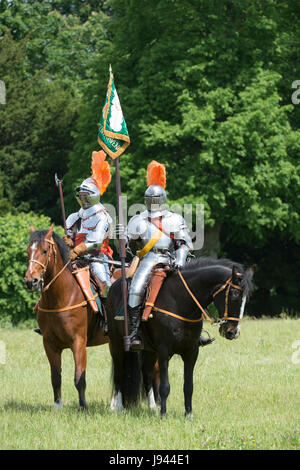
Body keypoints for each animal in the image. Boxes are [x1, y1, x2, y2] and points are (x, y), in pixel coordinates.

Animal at [24, 226, 109, 410]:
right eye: (28, 251)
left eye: (45, 250)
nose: (30, 281)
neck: (60, 297)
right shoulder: (50, 344)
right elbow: (55, 378)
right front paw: (57, 407)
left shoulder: (78, 343)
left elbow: (79, 378)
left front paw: (83, 408)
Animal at [106, 258, 254, 418]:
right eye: (234, 293)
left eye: (246, 298)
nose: (233, 332)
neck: (181, 302)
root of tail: (113, 287)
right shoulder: (164, 352)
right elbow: (165, 386)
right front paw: (164, 414)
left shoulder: (191, 352)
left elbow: (188, 386)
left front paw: (188, 414)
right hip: (116, 343)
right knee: (119, 372)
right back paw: (116, 407)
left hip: (149, 350)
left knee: (146, 373)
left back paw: (152, 408)